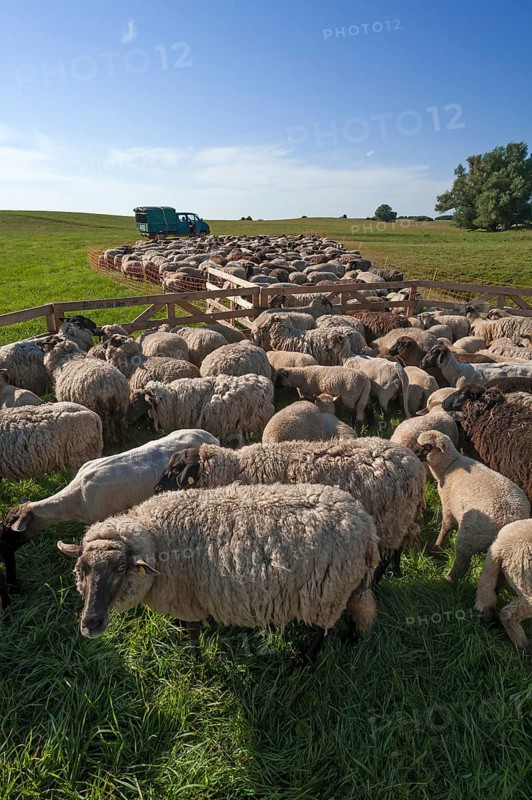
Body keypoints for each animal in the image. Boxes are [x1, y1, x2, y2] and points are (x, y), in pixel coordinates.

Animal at [57, 483, 379, 665]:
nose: (90, 624)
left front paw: (195, 662)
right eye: (82, 570)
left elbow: (193, 634)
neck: (156, 537)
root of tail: (366, 527)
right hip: (341, 588)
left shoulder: (188, 598)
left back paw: (303, 660)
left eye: (121, 569)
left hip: (325, 594)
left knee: (324, 630)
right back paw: (352, 636)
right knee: (359, 608)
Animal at [153, 438, 426, 568]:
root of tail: (416, 467)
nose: (155, 489)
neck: (236, 468)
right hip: (398, 521)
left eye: (176, 469)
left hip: (391, 521)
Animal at [415, 431, 530, 581]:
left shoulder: (447, 504)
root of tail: (510, 519)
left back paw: (448, 578)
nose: (413, 451)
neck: (450, 466)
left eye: (428, 447)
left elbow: (446, 526)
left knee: (461, 564)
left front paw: (437, 547)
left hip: (468, 537)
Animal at [475, 519, 532, 660]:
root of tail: (499, 546)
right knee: (508, 614)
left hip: (496, 570)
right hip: (526, 582)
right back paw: (525, 646)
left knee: (488, 594)